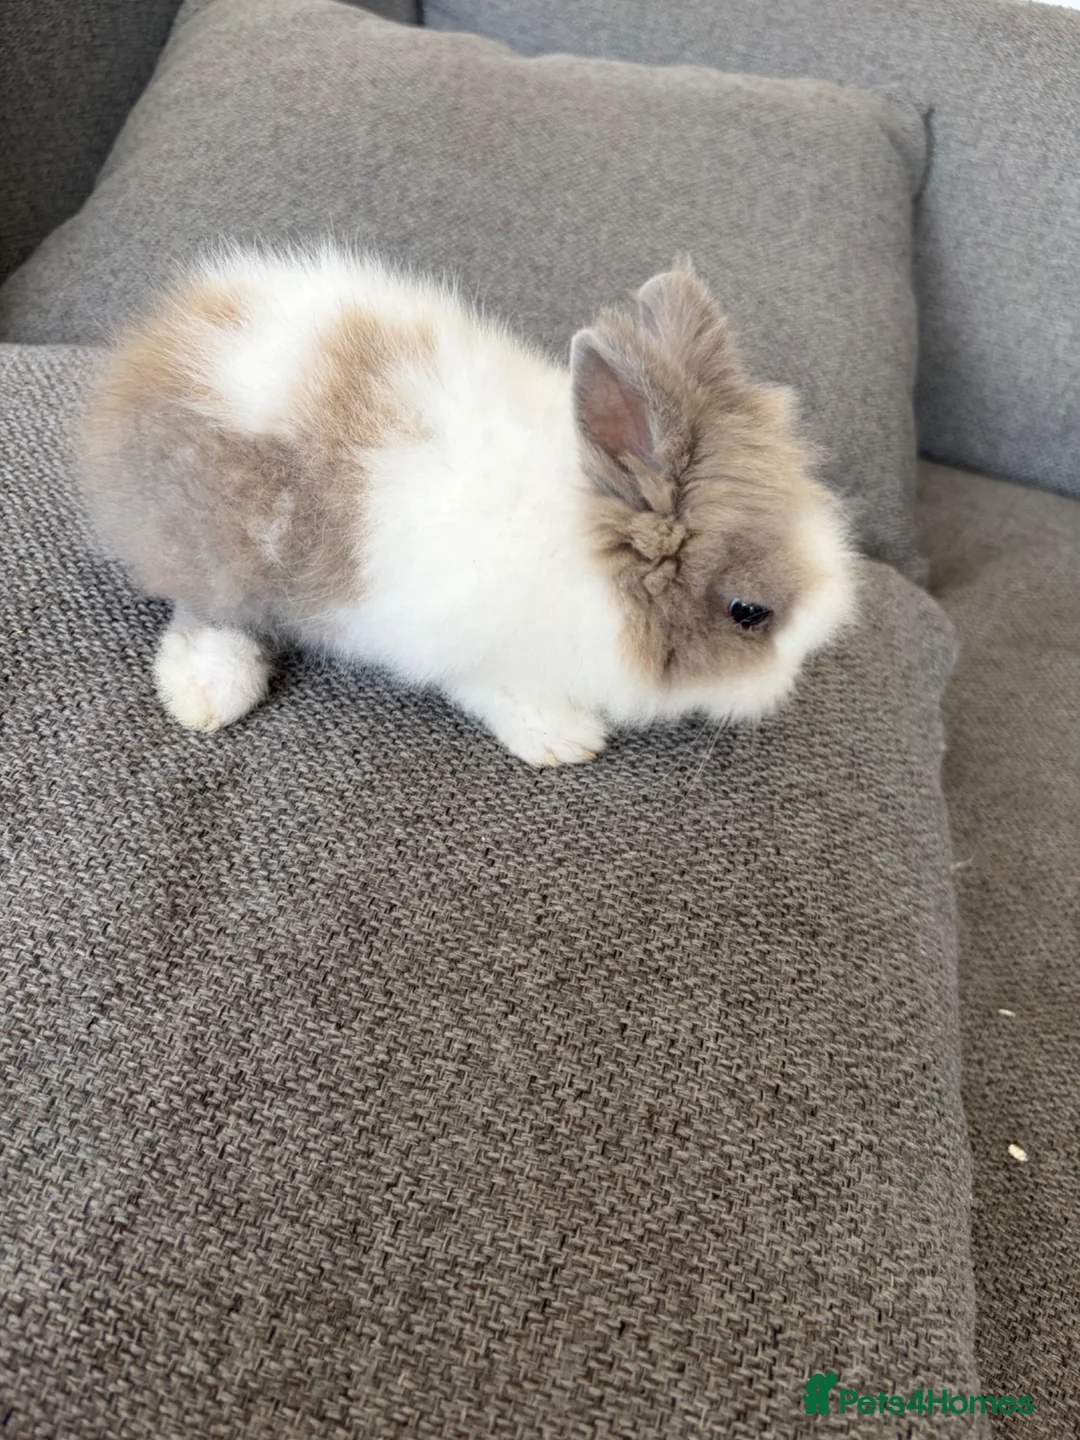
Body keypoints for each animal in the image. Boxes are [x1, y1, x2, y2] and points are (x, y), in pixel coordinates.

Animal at [81, 246, 855, 767]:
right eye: (749, 613)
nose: (799, 668)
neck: (590, 553)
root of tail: (138, 360)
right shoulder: (473, 649)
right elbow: (502, 693)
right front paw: (564, 739)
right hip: (223, 548)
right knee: (208, 615)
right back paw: (210, 694)